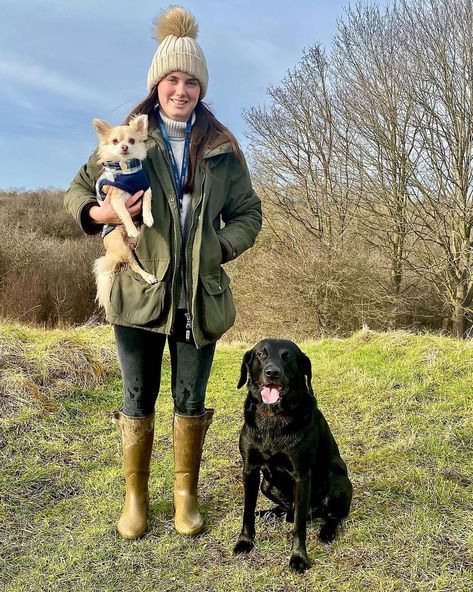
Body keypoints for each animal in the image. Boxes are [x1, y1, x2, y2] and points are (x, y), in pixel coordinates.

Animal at [92, 113, 157, 312]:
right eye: (114, 141)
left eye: (132, 140)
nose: (124, 147)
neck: (127, 169)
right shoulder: (116, 199)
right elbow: (126, 214)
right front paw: (132, 228)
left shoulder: (145, 188)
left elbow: (146, 203)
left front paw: (148, 218)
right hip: (123, 248)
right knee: (135, 266)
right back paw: (149, 276)